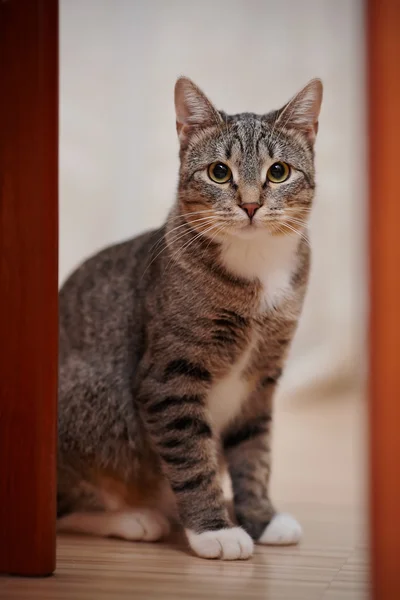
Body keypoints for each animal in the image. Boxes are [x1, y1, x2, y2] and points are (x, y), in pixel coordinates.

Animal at [57, 76, 322, 564]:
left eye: (278, 172)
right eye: (219, 172)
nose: (251, 205)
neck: (255, 269)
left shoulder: (262, 378)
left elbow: (254, 452)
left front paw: (260, 516)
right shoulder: (168, 378)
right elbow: (191, 456)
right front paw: (215, 530)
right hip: (94, 398)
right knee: (64, 505)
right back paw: (133, 519)